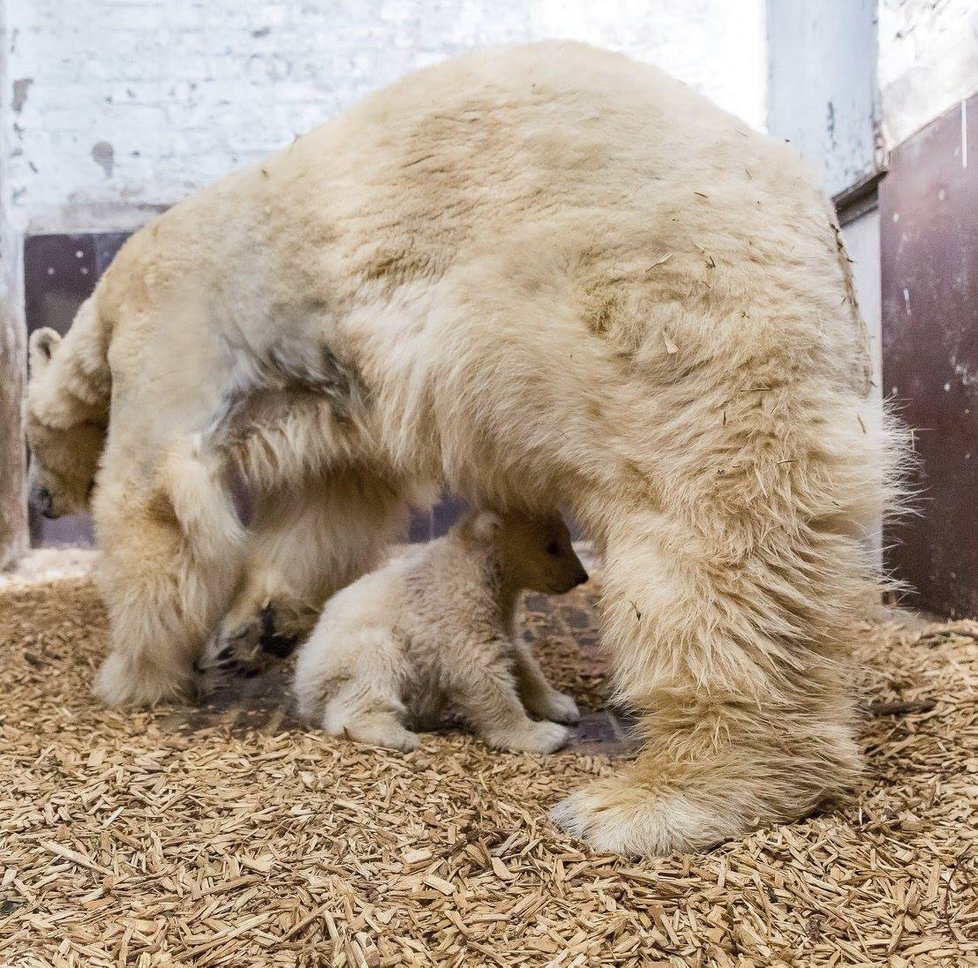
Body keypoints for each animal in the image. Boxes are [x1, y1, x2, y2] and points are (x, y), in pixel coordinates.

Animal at [292, 510, 588, 752]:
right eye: (552, 547)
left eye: (567, 537)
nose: (581, 576)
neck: (473, 561)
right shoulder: (455, 606)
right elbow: (478, 667)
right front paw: (543, 734)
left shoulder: (499, 612)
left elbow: (516, 654)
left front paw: (561, 704)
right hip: (348, 655)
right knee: (375, 666)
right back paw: (396, 734)